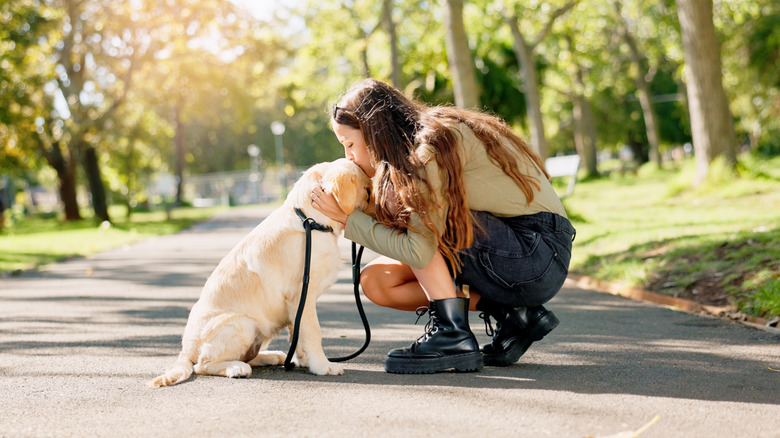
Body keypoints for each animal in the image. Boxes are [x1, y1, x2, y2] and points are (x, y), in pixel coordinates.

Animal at [150, 157, 374, 386]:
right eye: (367, 191)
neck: (310, 221)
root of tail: (185, 351)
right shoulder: (302, 294)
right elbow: (313, 332)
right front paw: (323, 366)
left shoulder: (296, 304)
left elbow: (297, 333)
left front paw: (304, 361)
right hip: (244, 323)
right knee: (203, 364)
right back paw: (237, 368)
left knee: (248, 355)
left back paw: (273, 356)